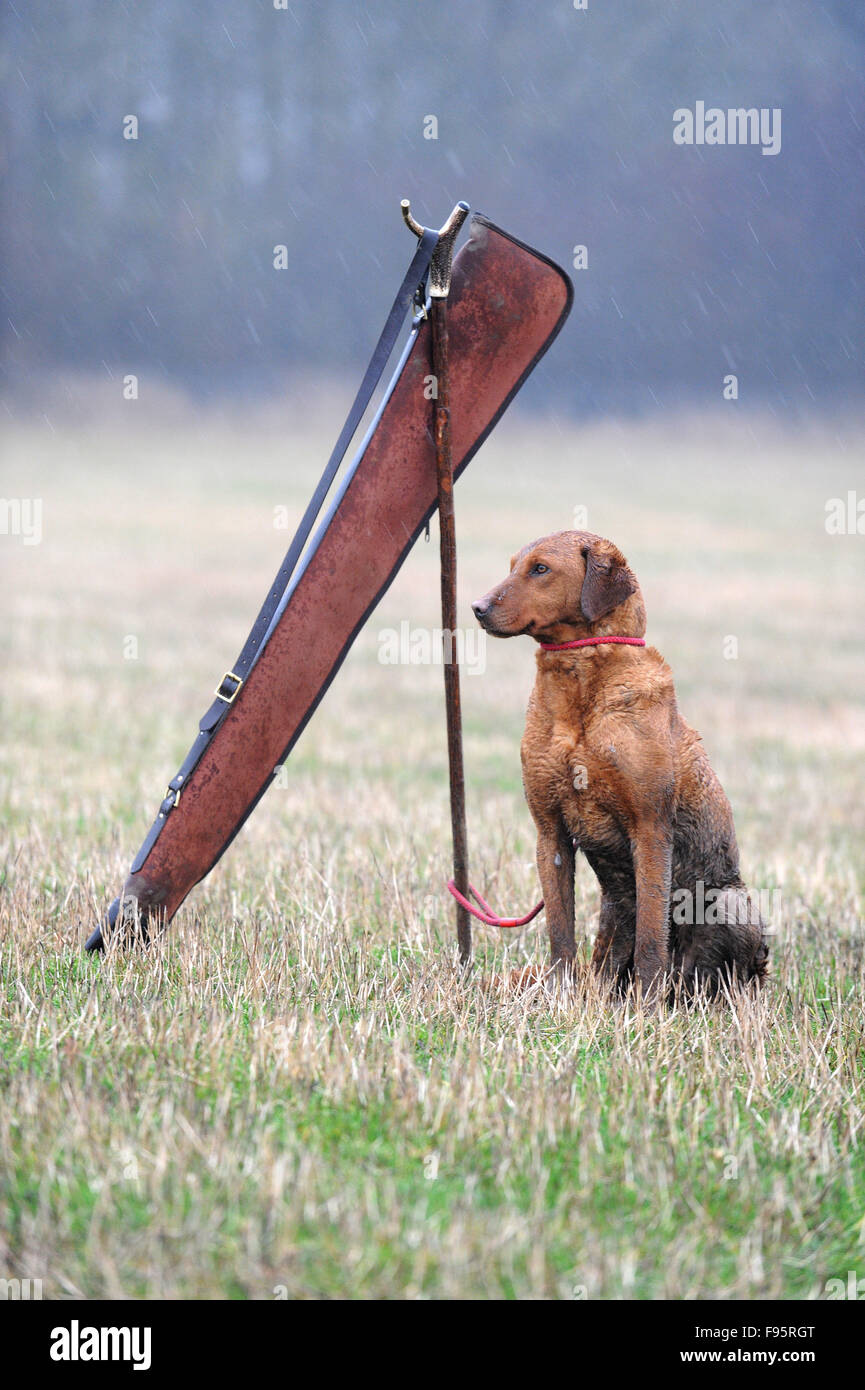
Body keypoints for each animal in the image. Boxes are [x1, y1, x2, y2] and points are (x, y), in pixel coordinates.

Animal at [475, 525, 773, 995]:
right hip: (615, 908)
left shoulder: (650, 830)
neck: (582, 684)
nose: (477, 608)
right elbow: (560, 931)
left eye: (540, 569)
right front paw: (560, 995)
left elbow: (652, 937)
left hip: (728, 903)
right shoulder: (550, 832)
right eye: (513, 567)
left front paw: (645, 1005)